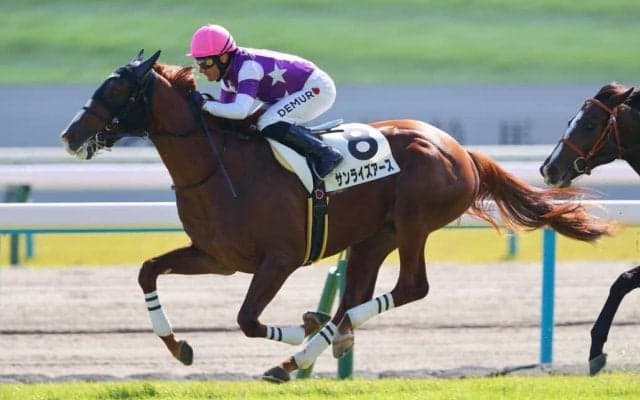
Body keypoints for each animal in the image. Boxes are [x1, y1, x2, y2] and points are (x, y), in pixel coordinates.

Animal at [60, 50, 613, 382]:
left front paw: (300, 334)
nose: (68, 135)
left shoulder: (279, 259)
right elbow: (148, 271)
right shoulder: (216, 256)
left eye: (114, 90)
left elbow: (246, 319)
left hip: (414, 222)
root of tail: (459, 149)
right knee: (356, 295)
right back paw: (323, 335)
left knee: (410, 287)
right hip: (374, 236)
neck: (222, 166)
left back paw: (303, 350)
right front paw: (179, 347)